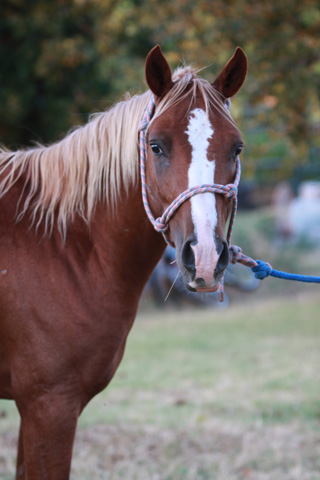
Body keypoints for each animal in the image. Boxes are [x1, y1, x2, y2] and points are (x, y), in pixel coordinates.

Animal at [0, 46, 248, 480]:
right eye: (156, 145)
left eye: (236, 148)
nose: (204, 258)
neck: (60, 245)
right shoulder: (49, 405)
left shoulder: (33, 408)